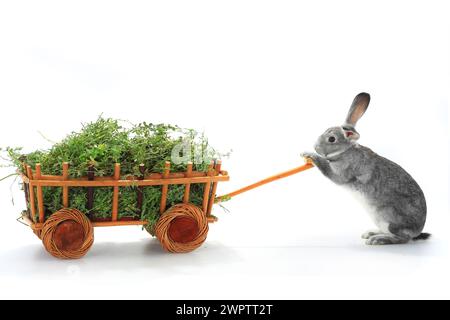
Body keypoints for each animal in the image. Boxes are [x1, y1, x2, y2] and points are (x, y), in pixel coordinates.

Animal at [302, 92, 428, 245]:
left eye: (331, 139)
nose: (315, 147)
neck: (346, 150)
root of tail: (417, 231)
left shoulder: (341, 172)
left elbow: (328, 169)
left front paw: (310, 155)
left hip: (389, 218)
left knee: (402, 238)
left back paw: (377, 240)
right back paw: (371, 233)